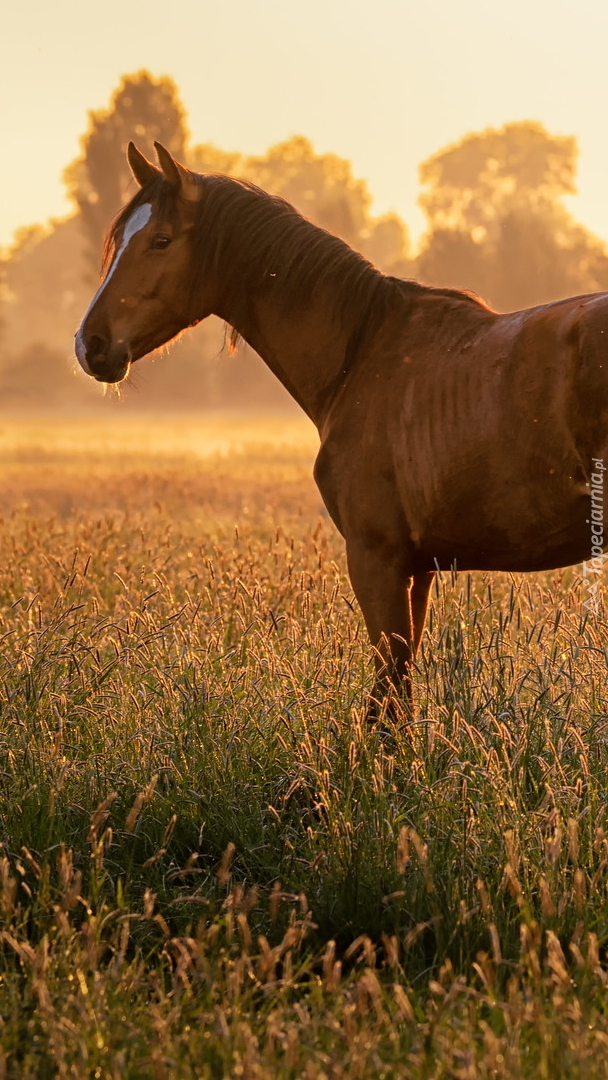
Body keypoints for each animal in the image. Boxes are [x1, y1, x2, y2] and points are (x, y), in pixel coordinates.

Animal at [76, 141, 608, 708]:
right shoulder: (416, 571)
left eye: (160, 240)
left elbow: (389, 698)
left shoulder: (377, 559)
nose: (90, 344)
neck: (361, 350)